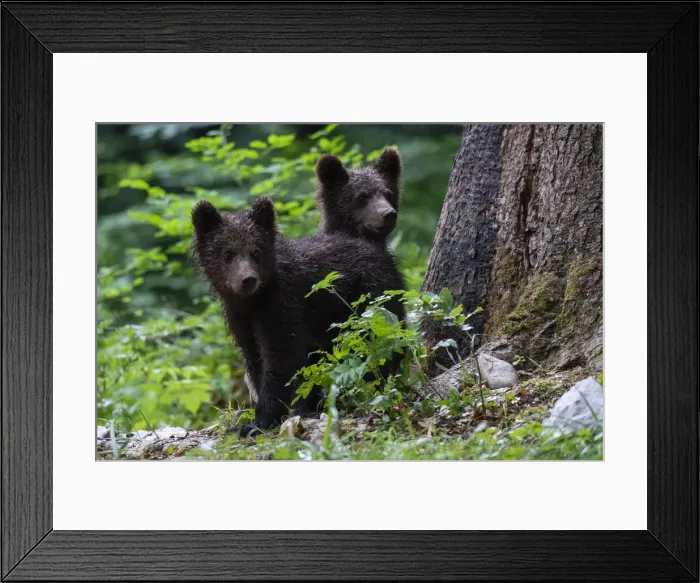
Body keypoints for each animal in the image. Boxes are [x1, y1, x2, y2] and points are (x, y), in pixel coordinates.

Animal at [192, 196, 406, 435]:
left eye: (256, 251)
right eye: (228, 253)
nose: (248, 280)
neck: (254, 302)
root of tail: (383, 254)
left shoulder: (282, 307)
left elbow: (279, 359)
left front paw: (259, 421)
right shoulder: (240, 318)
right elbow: (255, 358)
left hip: (371, 303)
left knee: (381, 344)